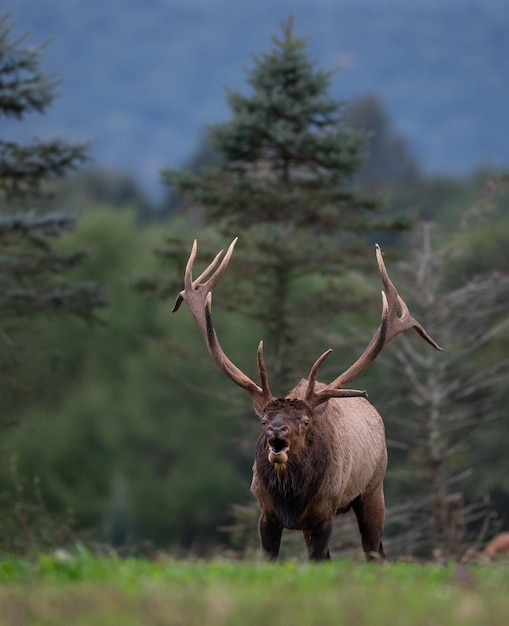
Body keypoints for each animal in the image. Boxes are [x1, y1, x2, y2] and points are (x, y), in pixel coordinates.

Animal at [172, 239, 440, 560]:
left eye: (305, 421)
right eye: (263, 420)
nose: (277, 431)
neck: (291, 500)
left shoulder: (324, 512)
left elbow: (318, 561)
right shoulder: (266, 513)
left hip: (374, 489)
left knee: (375, 553)